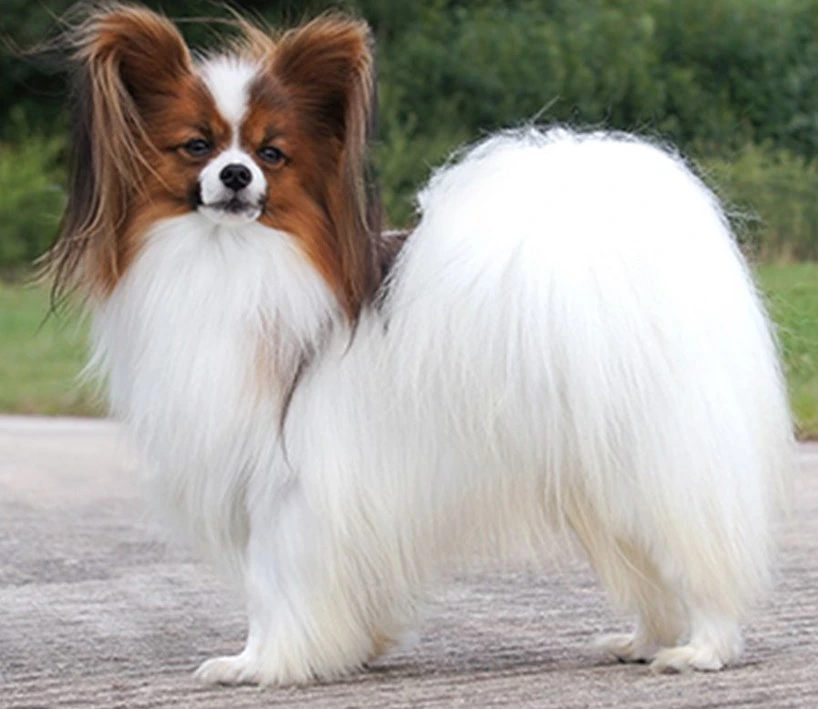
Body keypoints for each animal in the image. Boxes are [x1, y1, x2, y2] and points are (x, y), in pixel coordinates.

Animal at [47, 0, 792, 684]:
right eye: (196, 146)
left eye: (271, 154)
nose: (236, 176)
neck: (231, 260)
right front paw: (347, 647)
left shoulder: (288, 486)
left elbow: (272, 584)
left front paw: (260, 663)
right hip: (600, 474)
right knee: (647, 569)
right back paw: (642, 640)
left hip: (651, 463)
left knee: (698, 554)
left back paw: (701, 649)